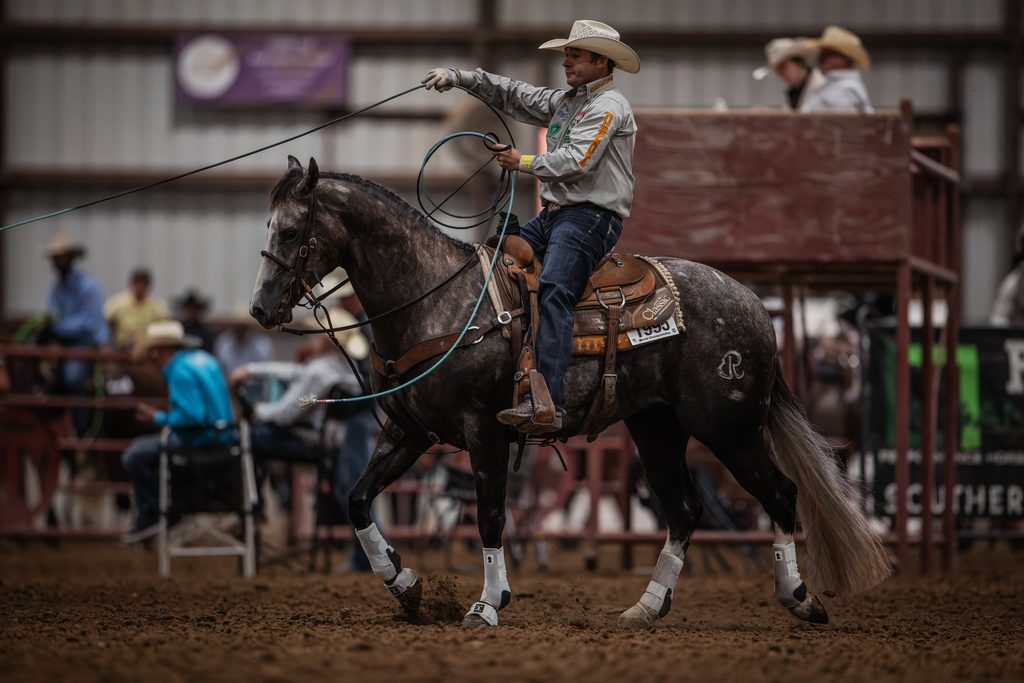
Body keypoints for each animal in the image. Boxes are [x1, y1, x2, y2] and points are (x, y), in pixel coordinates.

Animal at [250, 156, 891, 629]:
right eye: (268, 225)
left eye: (290, 229)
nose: (260, 309)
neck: (435, 299)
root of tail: (754, 305)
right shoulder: (409, 432)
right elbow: (358, 500)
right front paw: (404, 585)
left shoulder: (484, 431)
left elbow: (490, 517)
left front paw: (487, 604)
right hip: (657, 429)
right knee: (685, 509)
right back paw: (645, 608)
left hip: (729, 427)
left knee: (780, 494)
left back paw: (800, 598)